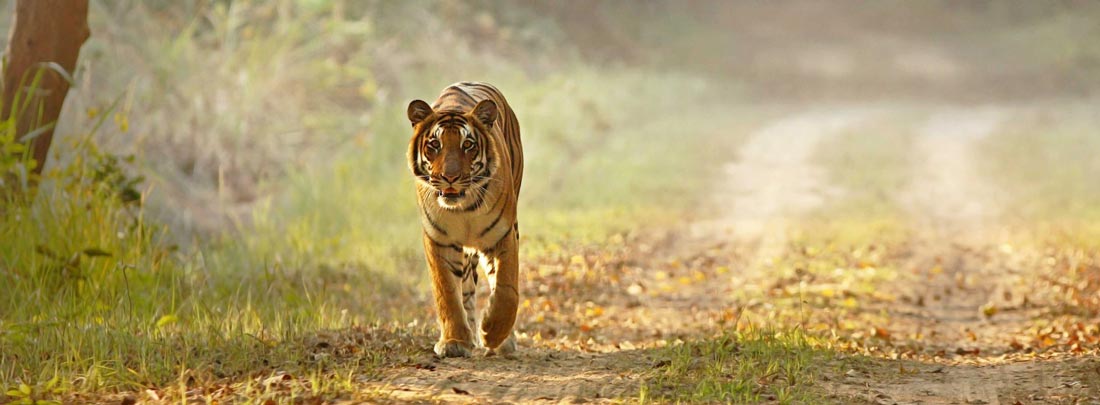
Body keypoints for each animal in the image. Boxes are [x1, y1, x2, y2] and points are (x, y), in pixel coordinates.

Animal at [406, 82, 523, 358]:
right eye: (434, 145)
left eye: (467, 145)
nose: (450, 177)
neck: (464, 208)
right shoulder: (439, 240)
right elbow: (447, 293)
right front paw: (455, 341)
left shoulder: (503, 235)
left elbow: (506, 289)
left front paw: (492, 332)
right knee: (466, 289)